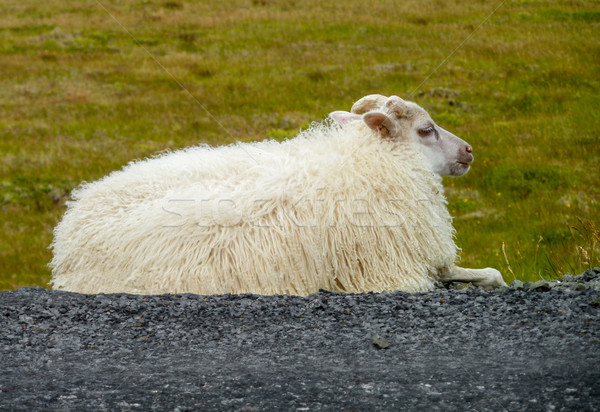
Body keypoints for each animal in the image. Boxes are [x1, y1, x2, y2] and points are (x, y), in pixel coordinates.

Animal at [50, 95, 506, 294]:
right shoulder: (398, 270)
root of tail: (66, 239)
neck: (365, 161)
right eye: (426, 130)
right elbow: (491, 275)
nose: (469, 151)